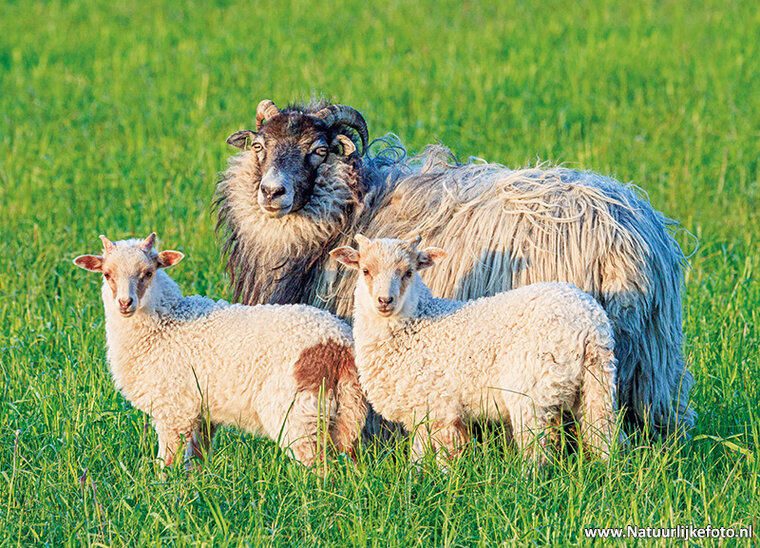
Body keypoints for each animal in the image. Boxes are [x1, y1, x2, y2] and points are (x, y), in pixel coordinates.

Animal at [73, 233, 366, 469]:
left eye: (148, 273)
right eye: (107, 274)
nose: (125, 303)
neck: (165, 324)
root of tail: (337, 343)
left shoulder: (174, 409)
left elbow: (167, 461)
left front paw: (163, 491)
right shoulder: (201, 411)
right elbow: (196, 459)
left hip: (296, 410)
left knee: (318, 466)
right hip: (343, 411)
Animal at [215, 98, 694, 439]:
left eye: (318, 150)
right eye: (259, 146)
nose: (271, 192)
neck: (355, 206)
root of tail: (628, 236)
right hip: (648, 358)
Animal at [330, 235, 620, 464]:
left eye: (409, 272)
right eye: (365, 271)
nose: (384, 300)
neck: (417, 323)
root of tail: (589, 323)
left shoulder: (441, 406)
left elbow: (445, 457)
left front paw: (447, 489)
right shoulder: (420, 409)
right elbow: (418, 456)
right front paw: (414, 487)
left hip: (530, 390)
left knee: (537, 451)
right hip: (595, 384)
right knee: (601, 434)